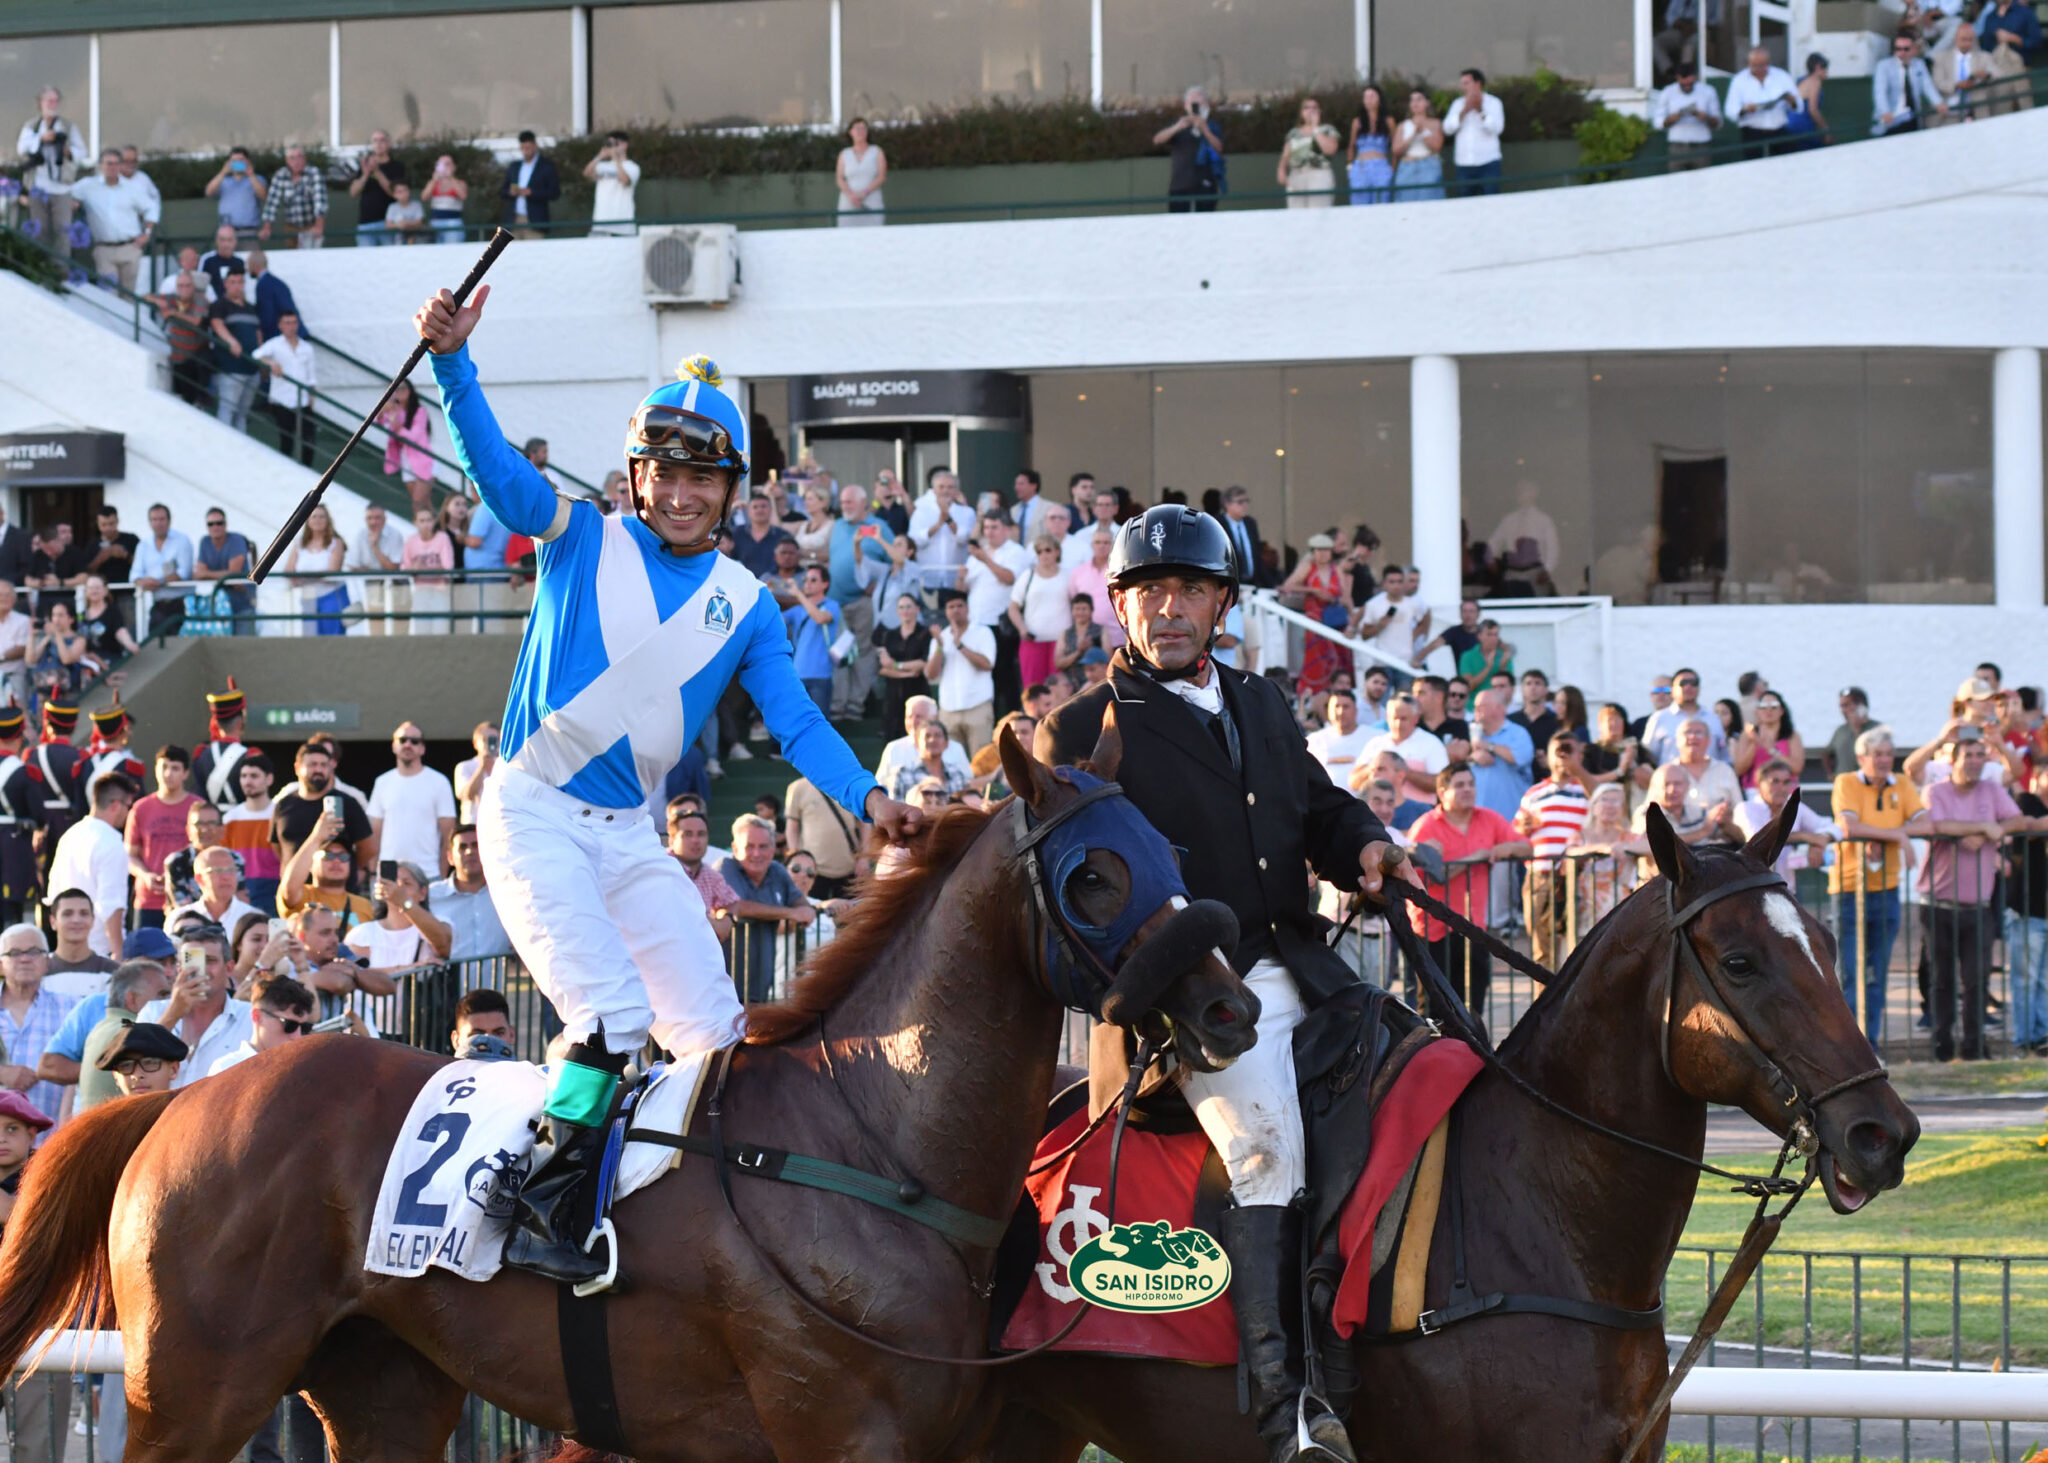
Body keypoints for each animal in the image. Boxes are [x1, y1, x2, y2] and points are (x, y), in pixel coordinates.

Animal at [0, 724, 1260, 1463]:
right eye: (1095, 875)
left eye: (1170, 849)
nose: (1226, 1009)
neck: (865, 1145)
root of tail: (182, 1102)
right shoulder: (836, 1427)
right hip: (195, 1385)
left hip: (384, 1383)